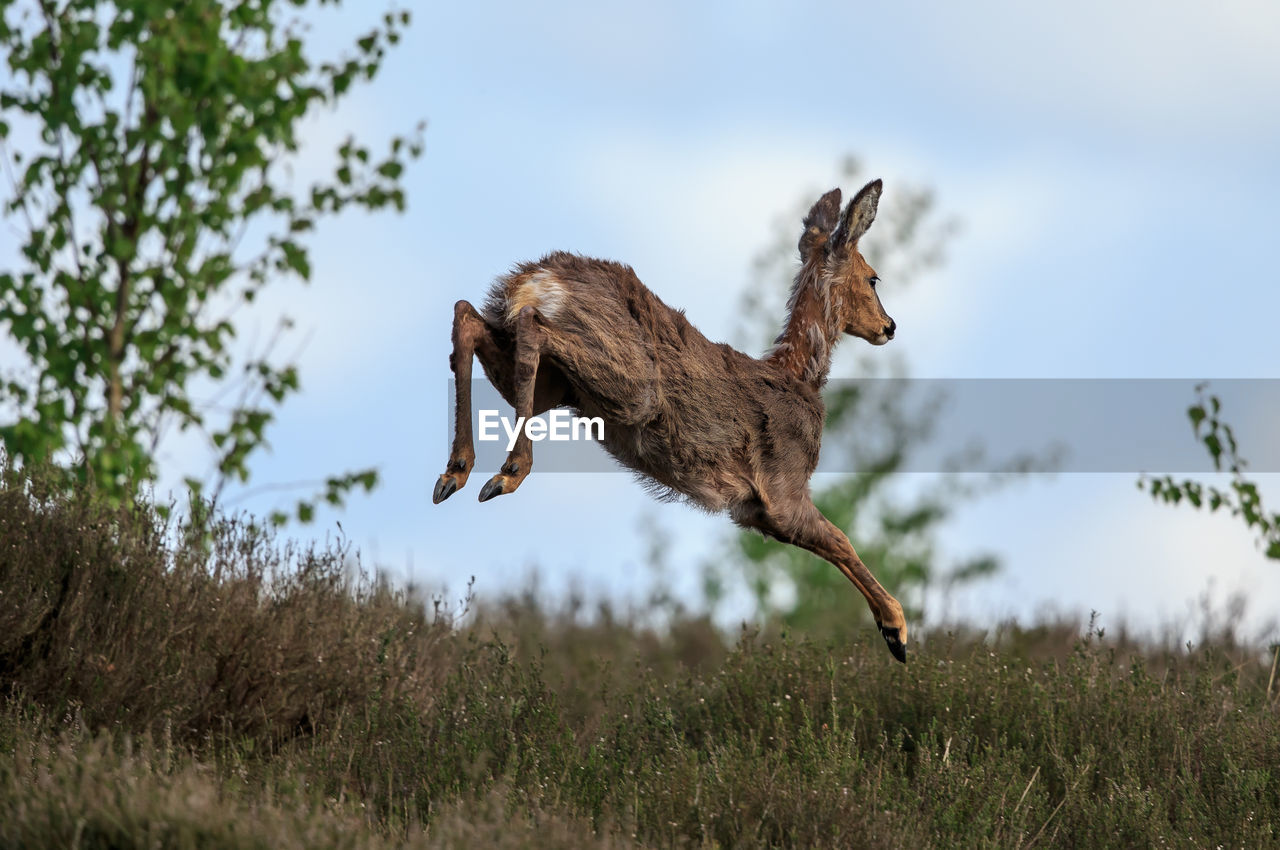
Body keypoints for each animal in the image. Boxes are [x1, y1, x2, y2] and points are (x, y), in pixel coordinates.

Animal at [432, 175, 911, 660]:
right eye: (873, 278)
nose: (889, 326)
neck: (799, 376)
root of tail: (533, 278)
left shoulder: (753, 510)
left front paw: (893, 630)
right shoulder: (782, 490)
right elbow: (842, 539)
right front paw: (897, 631)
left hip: (555, 385)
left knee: (467, 314)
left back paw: (455, 473)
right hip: (628, 384)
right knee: (530, 326)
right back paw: (507, 473)